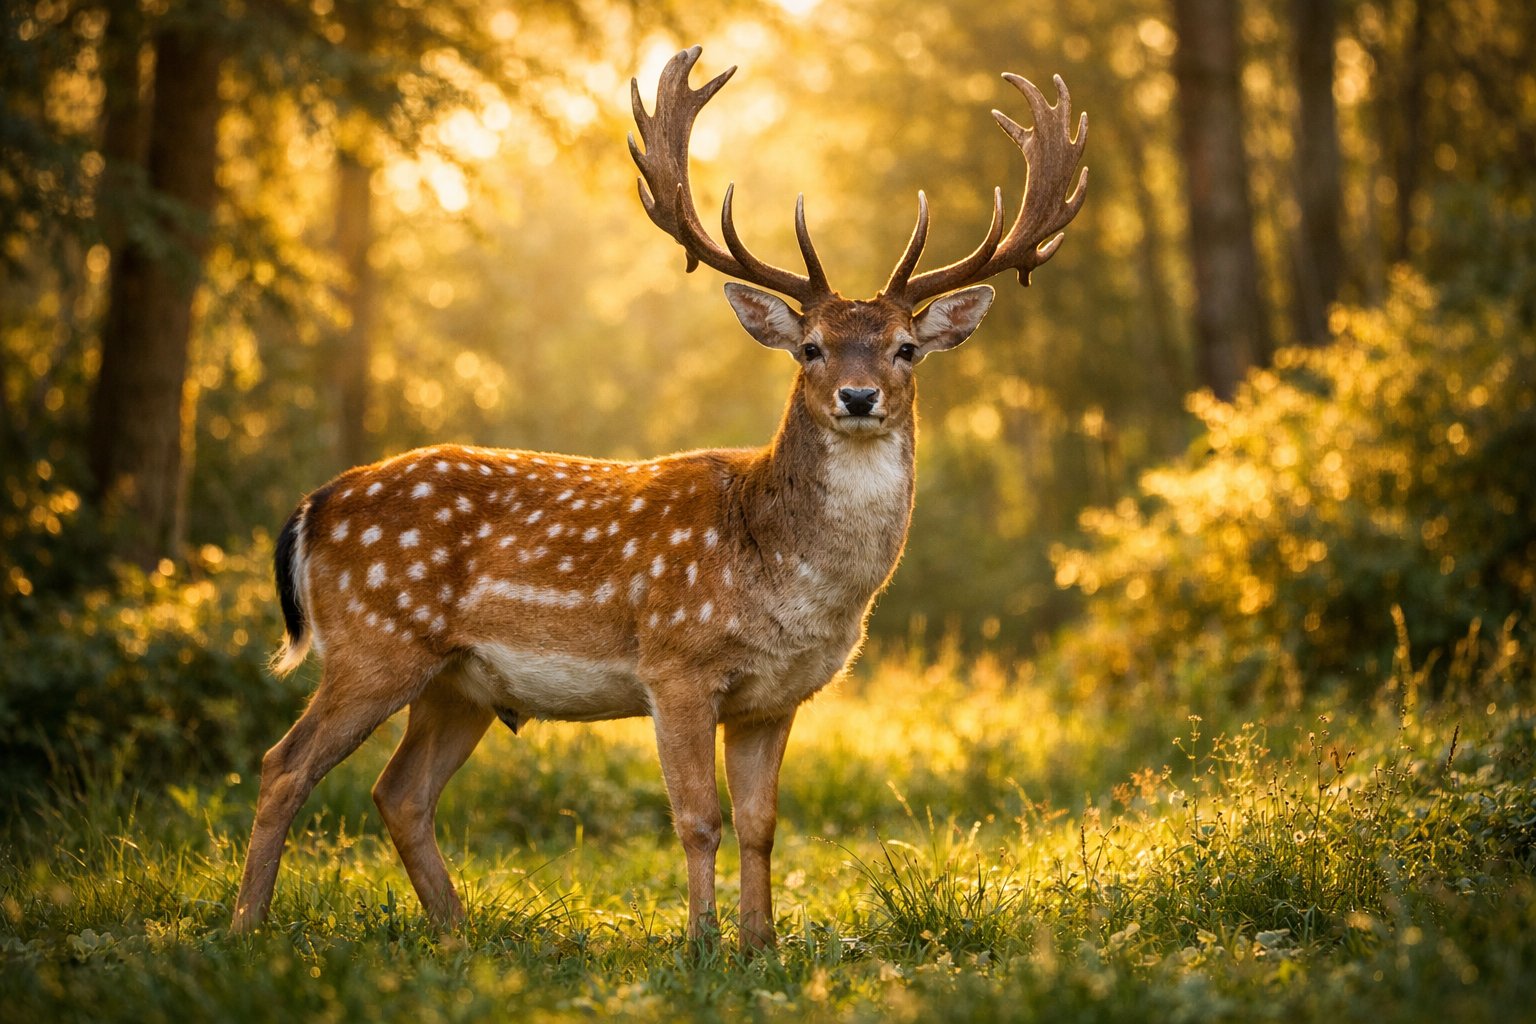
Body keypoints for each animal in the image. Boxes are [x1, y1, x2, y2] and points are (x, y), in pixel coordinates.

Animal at [230, 45, 1086, 951]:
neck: (785, 578)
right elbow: (697, 818)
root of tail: (312, 508)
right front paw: (702, 944)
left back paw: (461, 933)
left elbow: (760, 823)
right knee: (285, 764)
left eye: (907, 349)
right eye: (811, 348)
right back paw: (246, 928)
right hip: (375, 640)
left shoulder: (775, 697)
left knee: (399, 792)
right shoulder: (675, 663)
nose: (859, 397)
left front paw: (761, 944)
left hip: (458, 682)